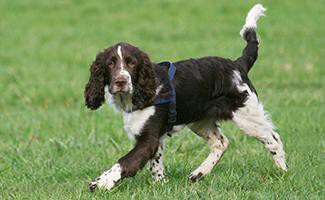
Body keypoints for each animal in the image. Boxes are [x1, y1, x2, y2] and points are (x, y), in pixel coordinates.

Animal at [84, 4, 286, 191]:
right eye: (110, 63)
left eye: (131, 63)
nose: (120, 81)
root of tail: (238, 65)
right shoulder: (155, 138)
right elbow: (156, 164)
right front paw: (161, 184)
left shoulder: (148, 139)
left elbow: (124, 162)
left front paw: (100, 182)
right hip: (200, 121)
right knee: (221, 143)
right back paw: (198, 173)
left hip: (247, 115)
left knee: (273, 138)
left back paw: (282, 171)